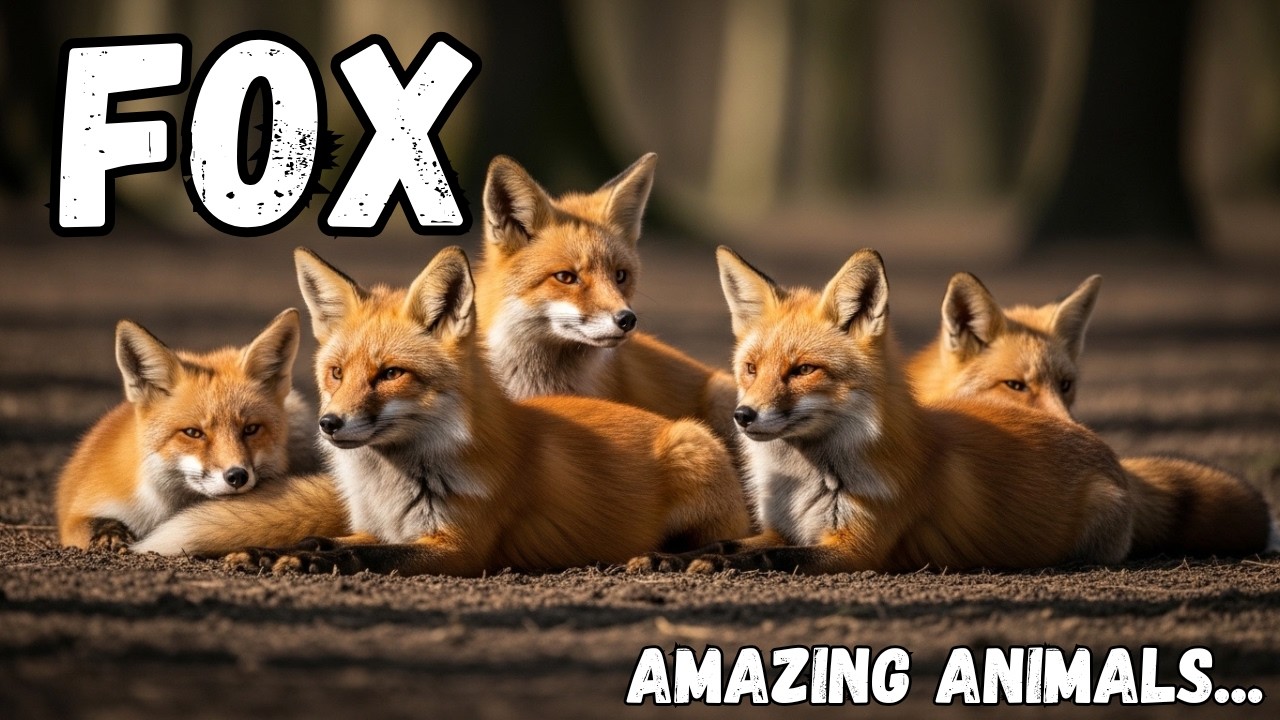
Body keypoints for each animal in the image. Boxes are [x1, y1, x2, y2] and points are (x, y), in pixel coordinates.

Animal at [56, 309, 324, 551]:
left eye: (250, 429)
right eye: (193, 433)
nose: (237, 476)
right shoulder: (76, 511)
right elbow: (92, 523)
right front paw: (110, 534)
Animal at [219, 246, 750, 576]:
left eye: (390, 374)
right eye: (335, 373)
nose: (329, 424)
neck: (394, 483)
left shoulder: (459, 548)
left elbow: (373, 557)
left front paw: (312, 562)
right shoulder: (375, 528)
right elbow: (323, 539)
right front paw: (272, 552)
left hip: (693, 451)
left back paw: (669, 558)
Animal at [629, 247, 1133, 574]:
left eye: (803, 370)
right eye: (751, 369)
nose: (743, 416)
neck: (808, 481)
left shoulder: (856, 549)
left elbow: (765, 556)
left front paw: (708, 563)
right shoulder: (782, 529)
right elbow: (727, 540)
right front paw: (668, 557)